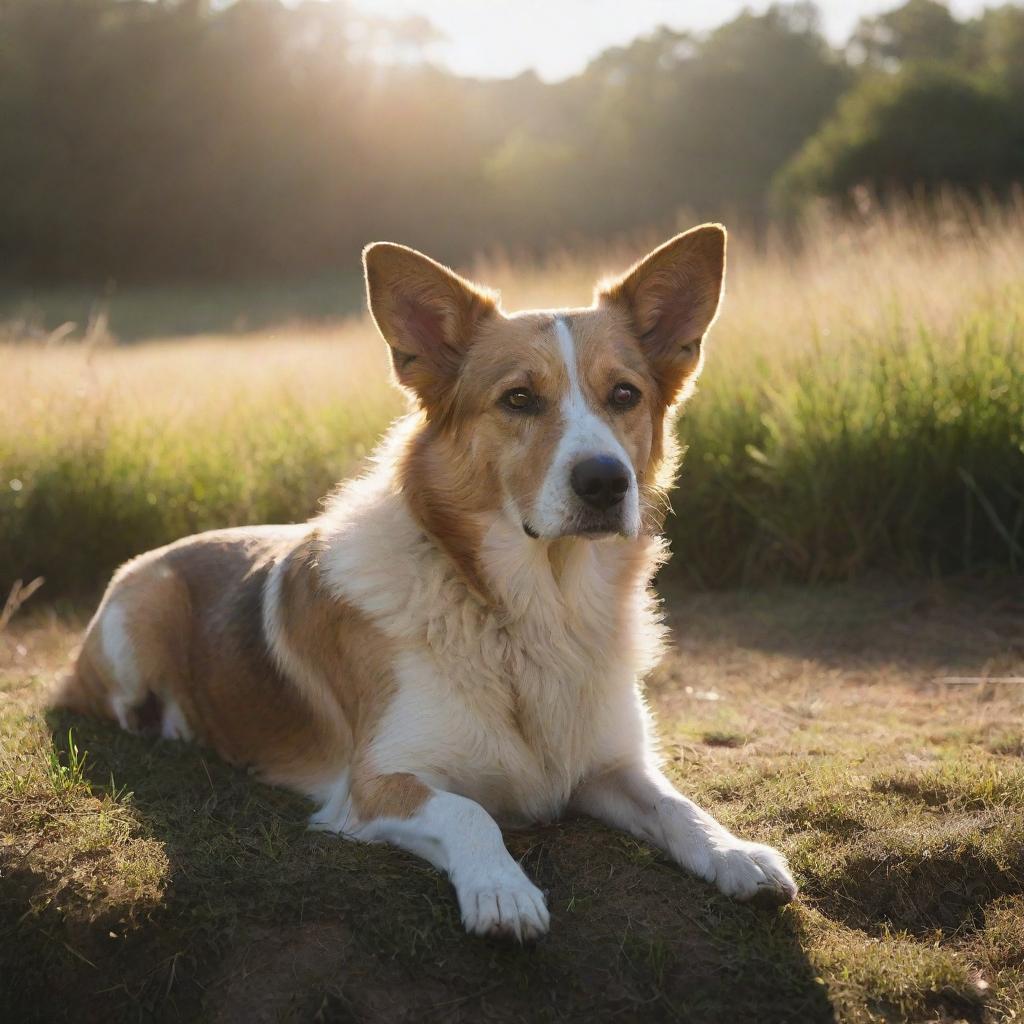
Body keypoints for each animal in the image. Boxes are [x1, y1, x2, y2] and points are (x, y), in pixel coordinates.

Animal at [51, 226, 794, 942]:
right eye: (519, 399)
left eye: (624, 396)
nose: (607, 482)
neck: (528, 612)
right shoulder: (377, 785)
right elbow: (470, 813)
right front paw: (502, 891)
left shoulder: (611, 767)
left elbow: (678, 805)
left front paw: (736, 853)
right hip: (140, 618)